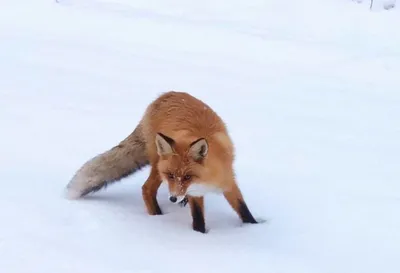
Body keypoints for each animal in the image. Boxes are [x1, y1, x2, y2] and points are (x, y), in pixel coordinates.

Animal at [65, 90, 260, 231]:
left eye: (188, 177)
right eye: (171, 176)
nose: (173, 198)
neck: (205, 180)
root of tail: (163, 96)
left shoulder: (228, 182)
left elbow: (243, 209)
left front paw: (254, 228)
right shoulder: (192, 192)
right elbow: (198, 219)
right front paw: (200, 235)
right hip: (157, 167)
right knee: (146, 189)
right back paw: (157, 217)